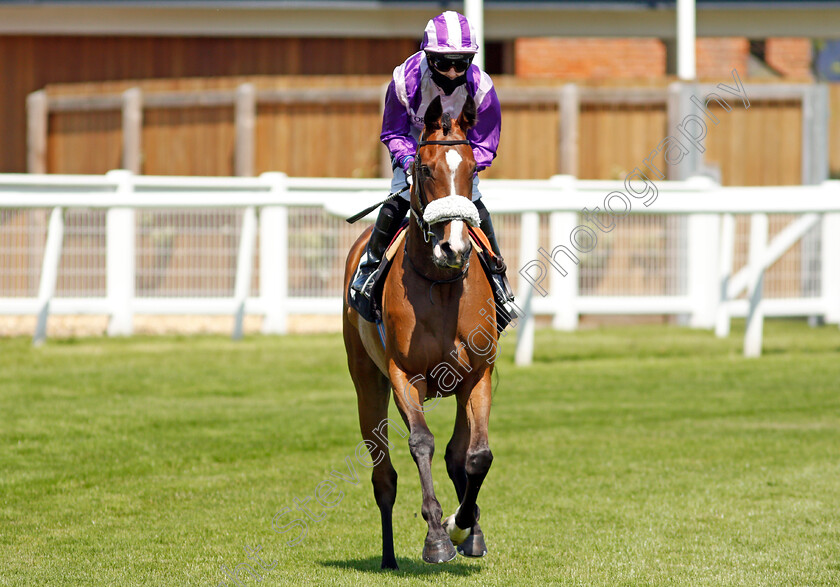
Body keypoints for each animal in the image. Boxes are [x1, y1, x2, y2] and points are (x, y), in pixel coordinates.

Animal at [342, 95, 498, 568]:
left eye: (472, 167)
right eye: (425, 169)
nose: (454, 248)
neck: (442, 284)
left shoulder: (477, 374)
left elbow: (476, 456)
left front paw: (463, 526)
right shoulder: (403, 375)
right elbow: (421, 443)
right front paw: (437, 536)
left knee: (457, 455)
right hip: (367, 382)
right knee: (384, 476)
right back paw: (389, 556)